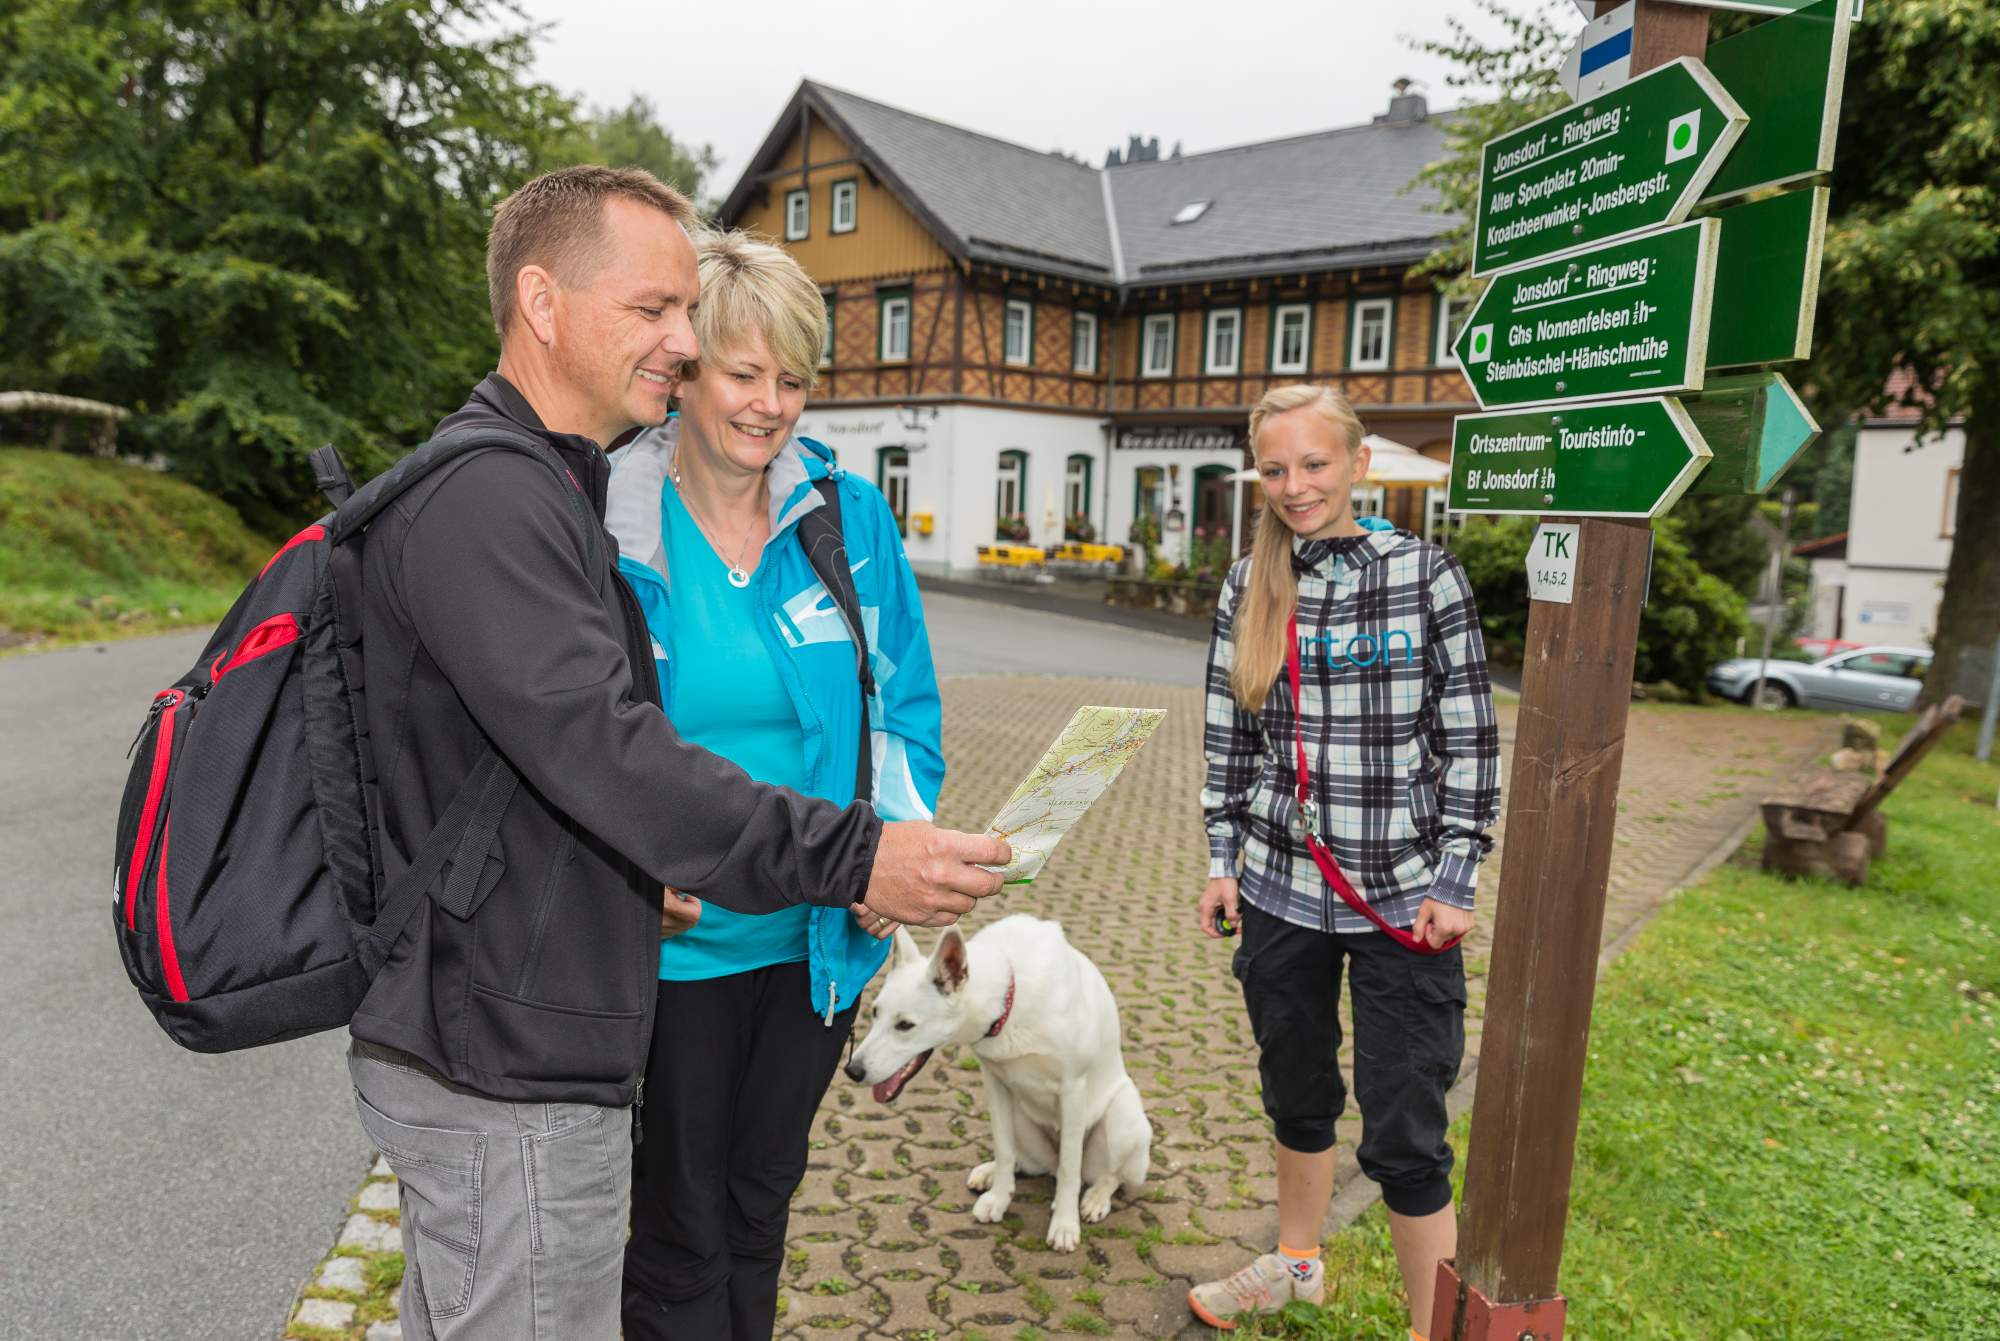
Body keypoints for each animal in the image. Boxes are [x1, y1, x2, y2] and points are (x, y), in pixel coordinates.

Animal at [844, 920, 1160, 1256]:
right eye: (875, 1013)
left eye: (905, 1025)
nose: (852, 1070)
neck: (1009, 998)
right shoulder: (996, 1084)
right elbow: (1004, 1149)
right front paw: (999, 1197)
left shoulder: (1073, 1090)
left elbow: (1069, 1170)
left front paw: (1064, 1224)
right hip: (1021, 1116)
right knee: (1029, 1161)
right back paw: (990, 1172)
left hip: (1123, 1118)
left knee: (1109, 1175)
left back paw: (1097, 1198)